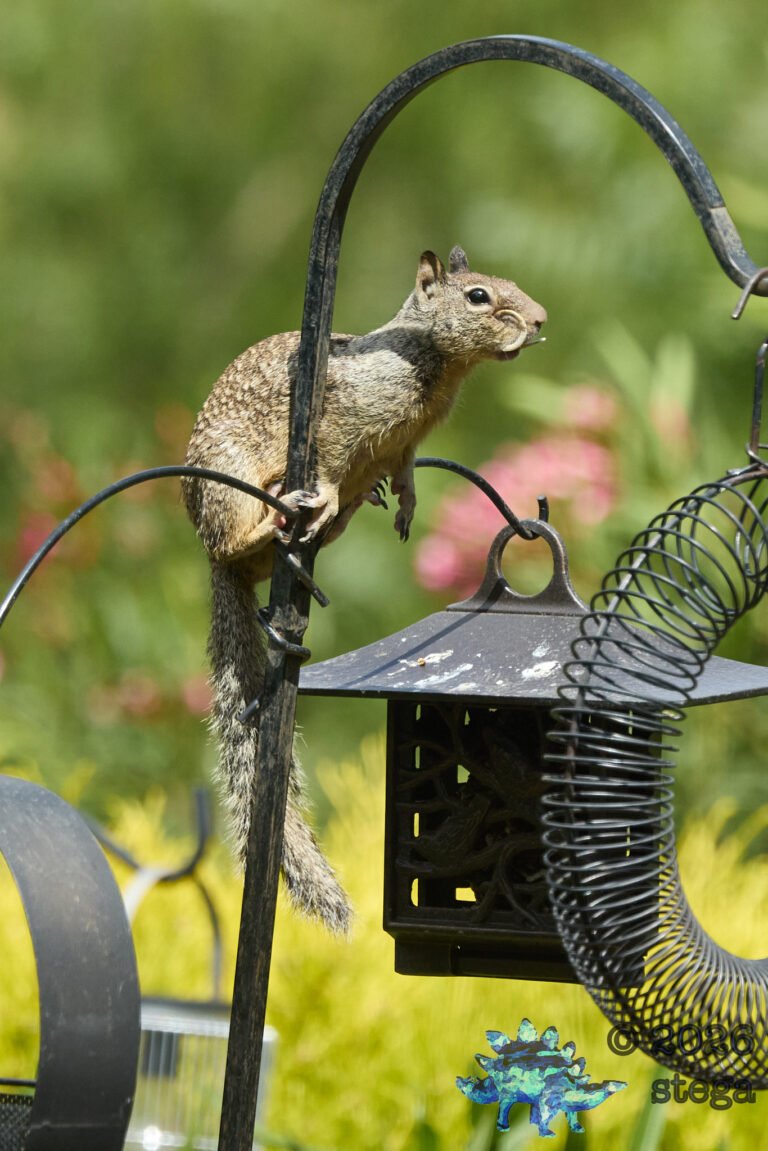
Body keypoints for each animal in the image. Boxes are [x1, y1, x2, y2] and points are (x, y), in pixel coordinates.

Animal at [181, 246, 547, 935]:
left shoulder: (407, 441)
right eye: (479, 297)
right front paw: (323, 490)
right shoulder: (342, 415)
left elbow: (404, 470)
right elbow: (328, 456)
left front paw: (405, 501)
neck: (435, 367)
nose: (539, 320)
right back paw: (280, 513)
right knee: (234, 539)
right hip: (228, 487)